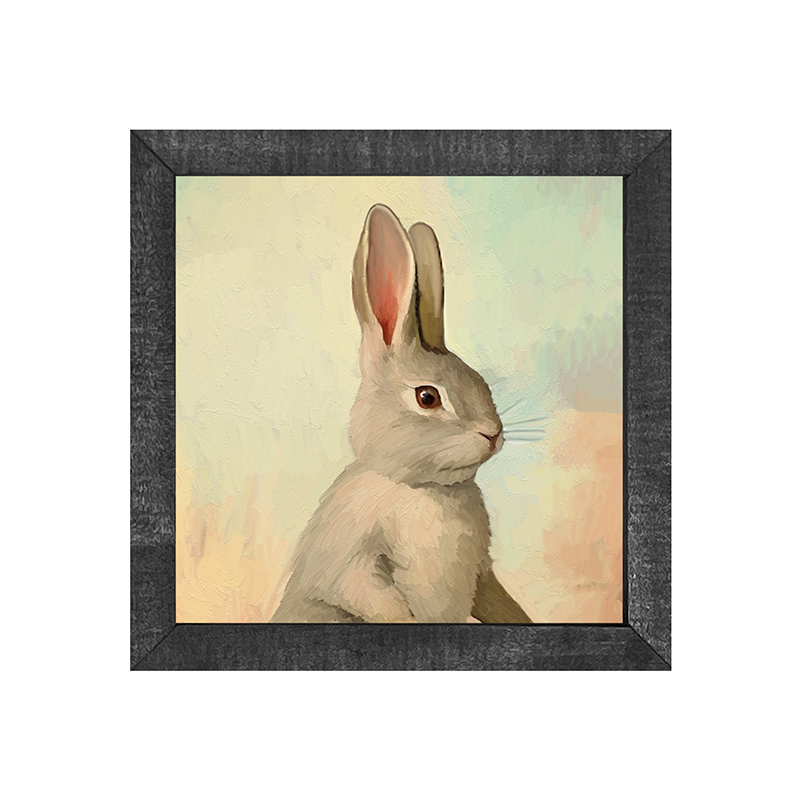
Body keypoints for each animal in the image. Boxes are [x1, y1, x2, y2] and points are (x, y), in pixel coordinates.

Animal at [271, 204, 531, 623]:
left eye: (482, 383)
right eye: (427, 397)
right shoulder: (351, 559)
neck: (425, 489)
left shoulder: (482, 574)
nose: (493, 434)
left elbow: (496, 599)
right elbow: (373, 596)